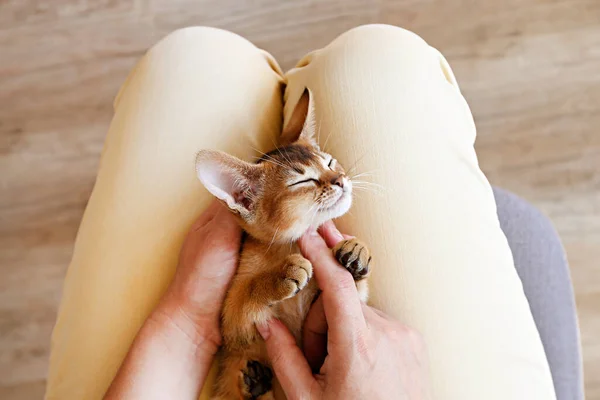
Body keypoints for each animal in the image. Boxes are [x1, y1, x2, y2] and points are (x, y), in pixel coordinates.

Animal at [197, 90, 372, 400]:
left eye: (329, 162)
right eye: (303, 181)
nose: (341, 180)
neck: (289, 247)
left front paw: (356, 251)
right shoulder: (230, 326)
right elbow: (244, 295)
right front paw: (281, 274)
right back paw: (252, 382)